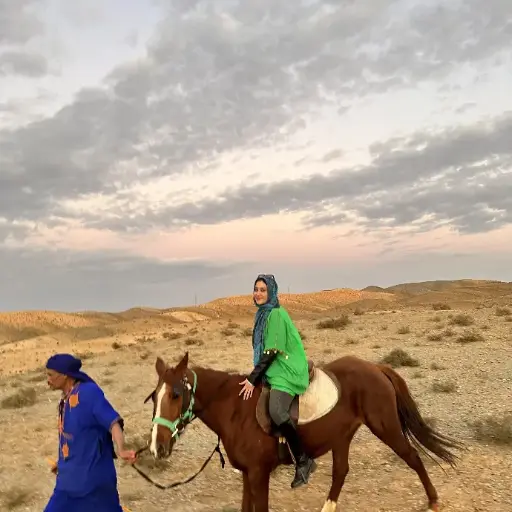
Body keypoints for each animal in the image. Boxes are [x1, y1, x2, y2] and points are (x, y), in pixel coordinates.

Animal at [144, 352, 464, 512]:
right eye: (153, 396)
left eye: (175, 395)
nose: (157, 447)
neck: (235, 409)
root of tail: (375, 367)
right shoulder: (248, 474)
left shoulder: (259, 474)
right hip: (342, 435)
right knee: (340, 472)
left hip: (386, 427)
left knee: (413, 457)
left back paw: (434, 501)